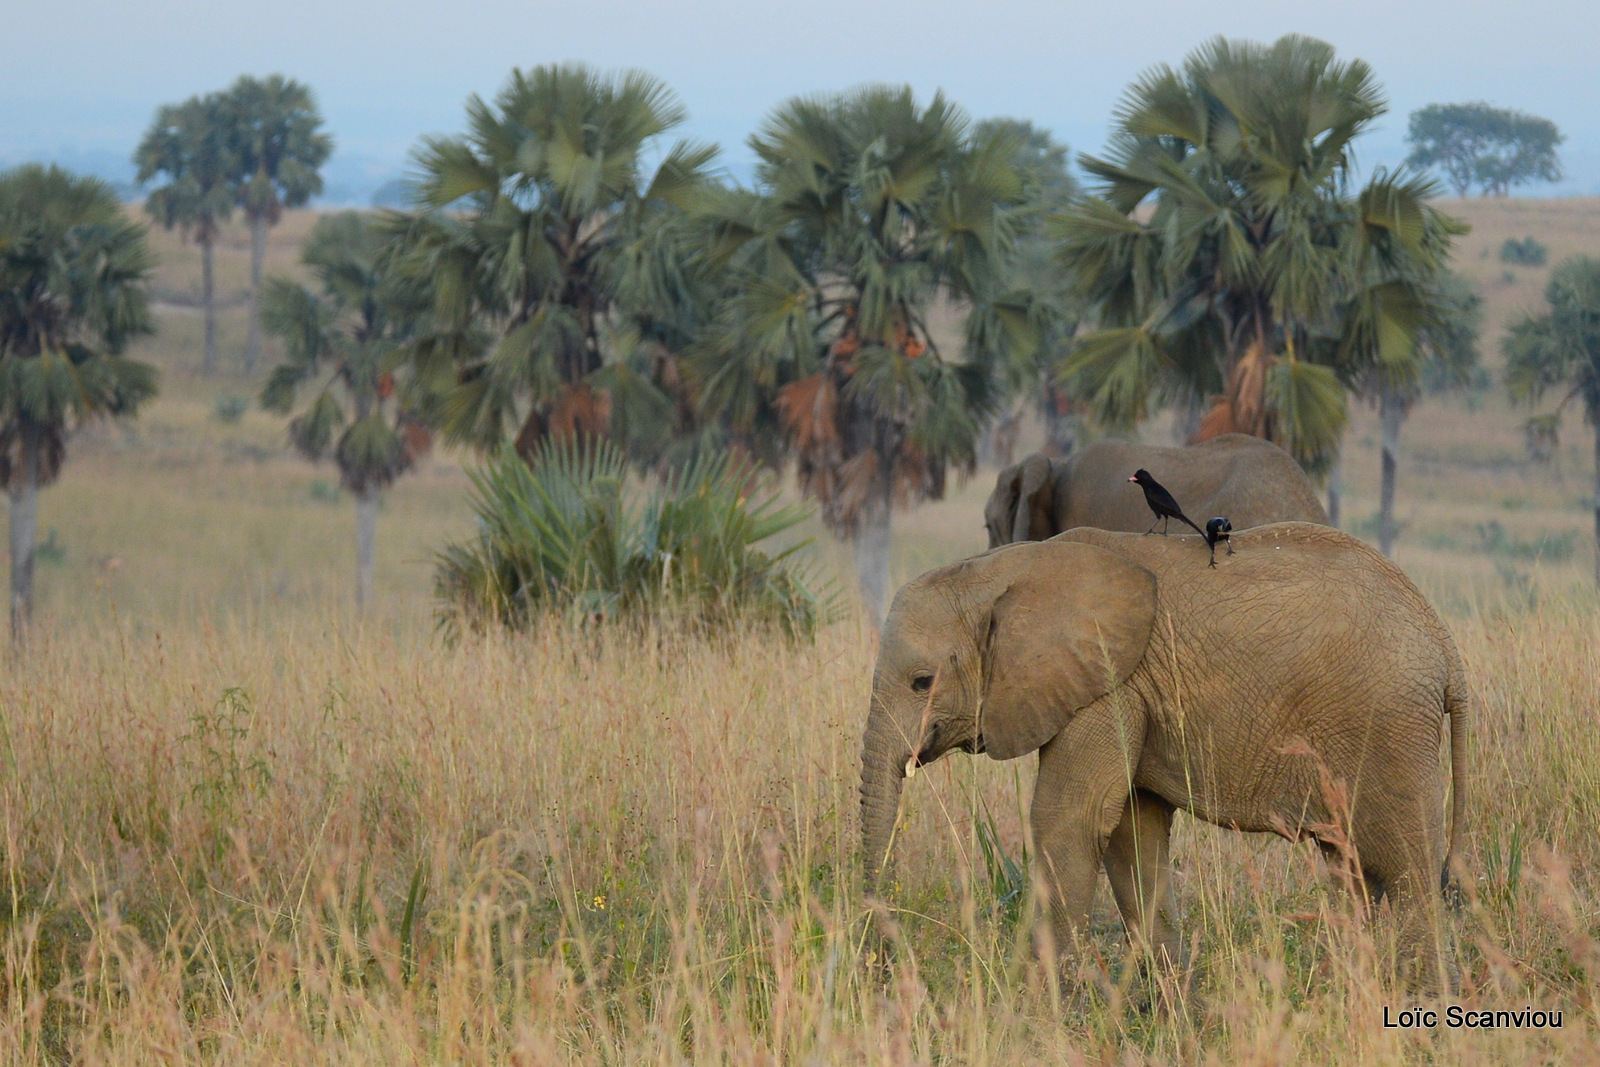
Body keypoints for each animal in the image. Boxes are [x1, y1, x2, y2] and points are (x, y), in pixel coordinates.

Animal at [864, 524, 1472, 991]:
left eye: (922, 682)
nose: (883, 970)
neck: (1005, 567)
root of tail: (1445, 644)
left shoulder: (1110, 683)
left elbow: (1068, 821)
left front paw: (1042, 1011)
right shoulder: (1130, 692)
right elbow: (1133, 835)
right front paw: (1178, 1007)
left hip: (1390, 728)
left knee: (1405, 869)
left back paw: (1422, 1003)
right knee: (1353, 868)